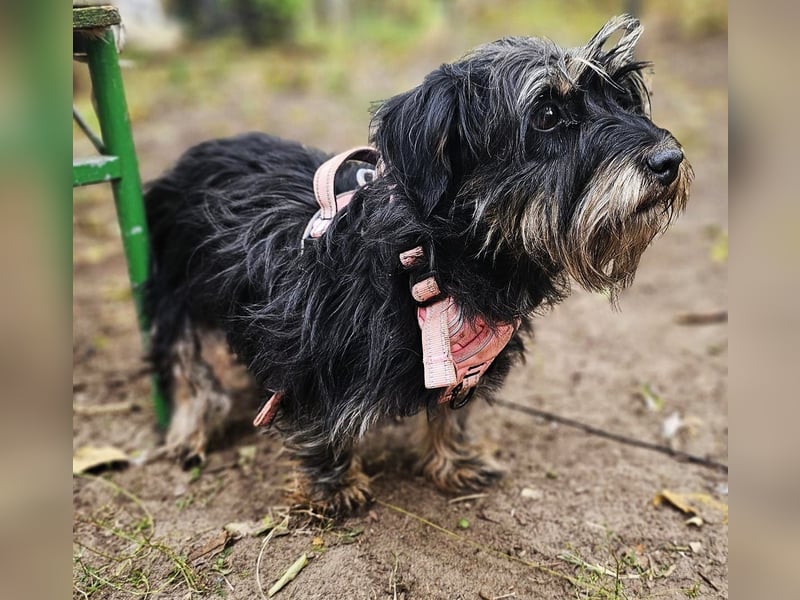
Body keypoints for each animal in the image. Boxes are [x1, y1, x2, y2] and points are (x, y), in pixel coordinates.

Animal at [142, 17, 688, 516]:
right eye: (548, 114)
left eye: (625, 98)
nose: (670, 159)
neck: (429, 257)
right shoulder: (308, 349)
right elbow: (321, 424)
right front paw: (334, 486)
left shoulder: (462, 361)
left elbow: (451, 414)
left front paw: (453, 461)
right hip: (175, 293)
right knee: (186, 367)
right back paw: (191, 431)